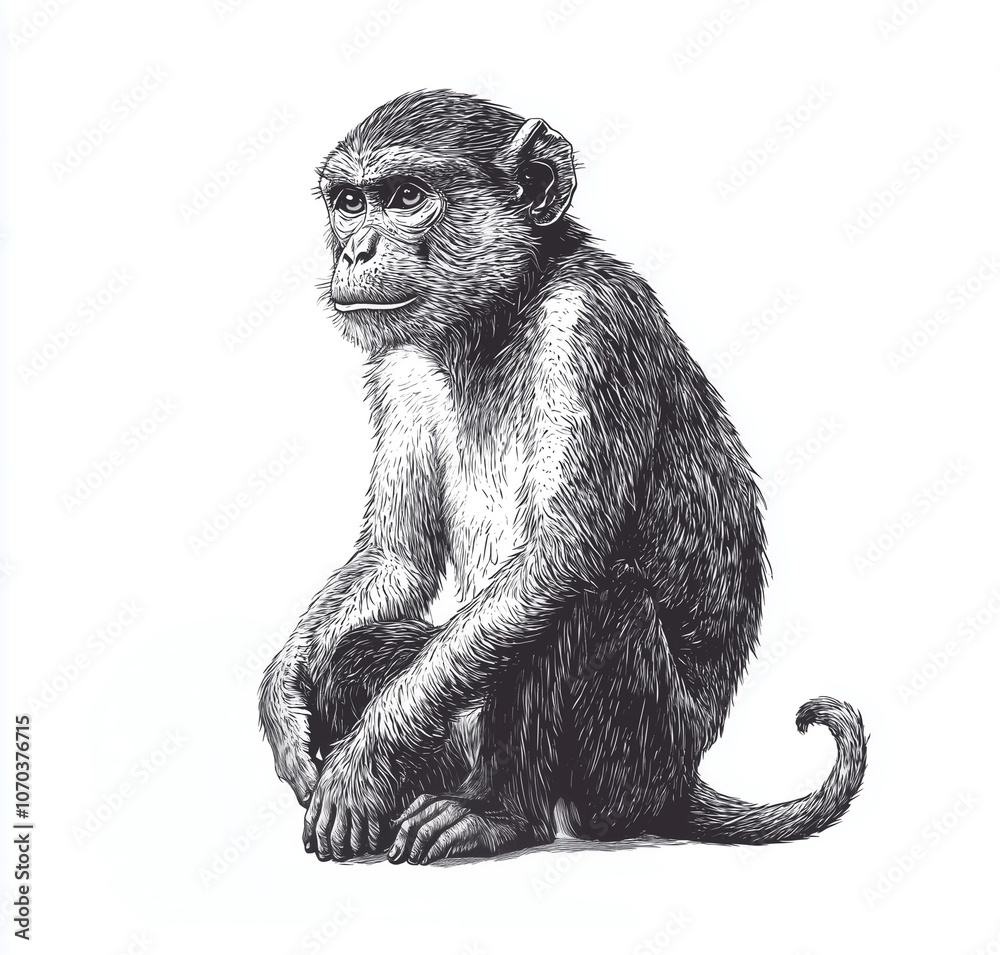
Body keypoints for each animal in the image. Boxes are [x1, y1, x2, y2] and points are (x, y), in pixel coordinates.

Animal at [258, 89, 867, 864]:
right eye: (349, 201)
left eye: (405, 197)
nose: (356, 247)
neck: (493, 321)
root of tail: (683, 780)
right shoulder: (399, 367)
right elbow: (395, 560)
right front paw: (283, 697)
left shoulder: (592, 328)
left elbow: (557, 560)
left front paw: (363, 762)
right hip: (461, 740)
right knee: (356, 651)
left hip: (635, 765)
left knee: (591, 595)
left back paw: (501, 812)